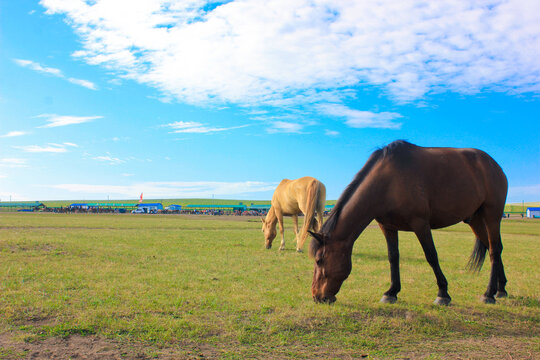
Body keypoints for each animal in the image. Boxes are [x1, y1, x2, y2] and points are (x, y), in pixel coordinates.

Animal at [310, 142, 508, 306]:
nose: (317, 296)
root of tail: (494, 165)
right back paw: (501, 290)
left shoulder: (420, 224)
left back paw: (489, 294)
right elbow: (393, 257)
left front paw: (443, 293)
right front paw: (391, 292)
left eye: (319, 260)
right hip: (475, 220)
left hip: (492, 215)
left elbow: (431, 256)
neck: (389, 181)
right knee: (494, 248)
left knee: (494, 249)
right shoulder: (387, 226)